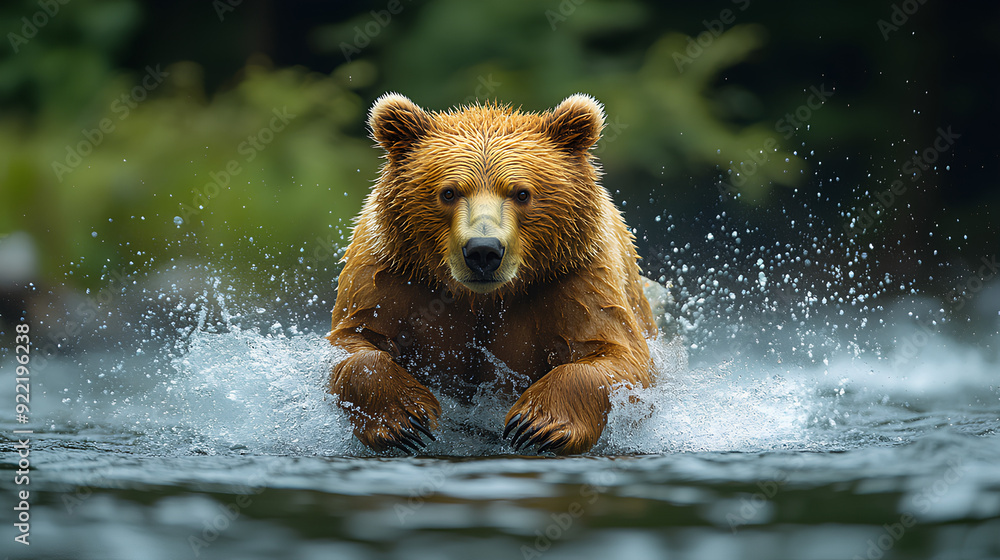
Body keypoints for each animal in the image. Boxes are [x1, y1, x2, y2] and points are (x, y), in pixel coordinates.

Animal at [326, 92, 658, 455]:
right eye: (449, 192)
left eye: (522, 193)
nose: (483, 251)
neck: (482, 296)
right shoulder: (394, 269)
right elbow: (356, 341)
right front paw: (406, 420)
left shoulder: (573, 273)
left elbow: (617, 356)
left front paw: (537, 425)